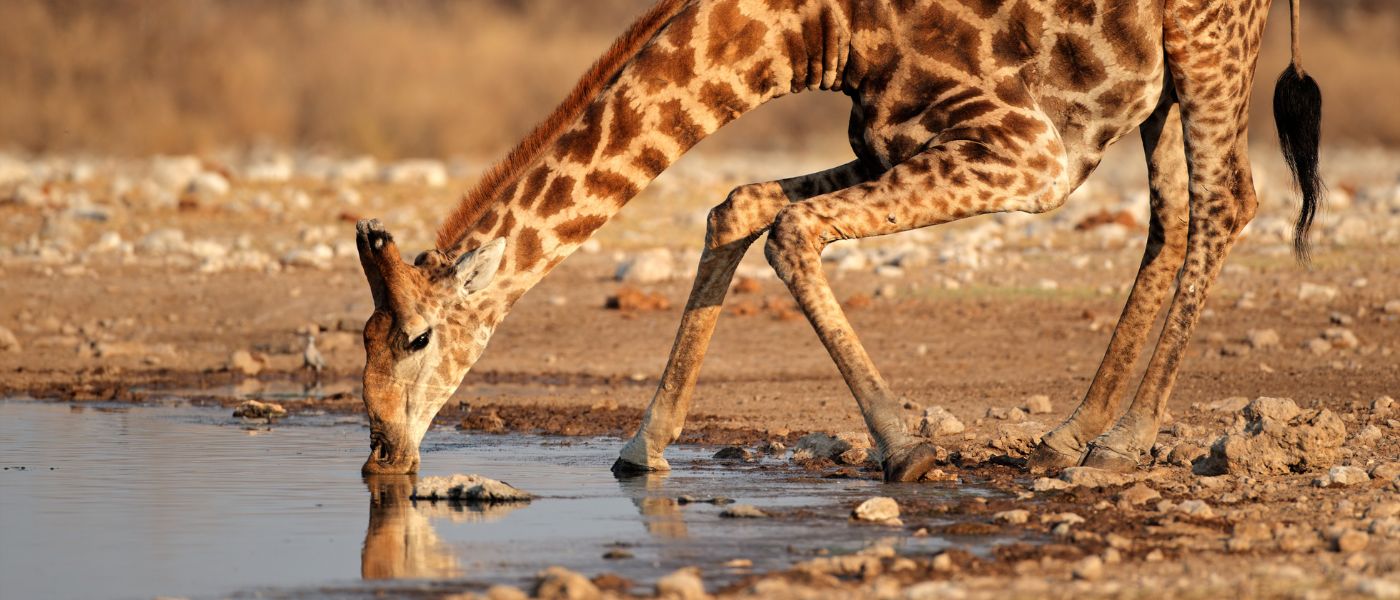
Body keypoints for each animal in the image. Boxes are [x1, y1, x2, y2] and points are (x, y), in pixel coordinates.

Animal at [352, 0, 1321, 478]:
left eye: (417, 338)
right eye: (364, 338)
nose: (381, 456)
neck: (808, 31)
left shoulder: (1028, 154)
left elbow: (789, 231)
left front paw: (907, 448)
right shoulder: (887, 141)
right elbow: (739, 207)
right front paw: (641, 448)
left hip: (1206, 44)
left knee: (1227, 200)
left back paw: (1122, 443)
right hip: (1156, 82)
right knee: (1173, 218)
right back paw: (1070, 435)